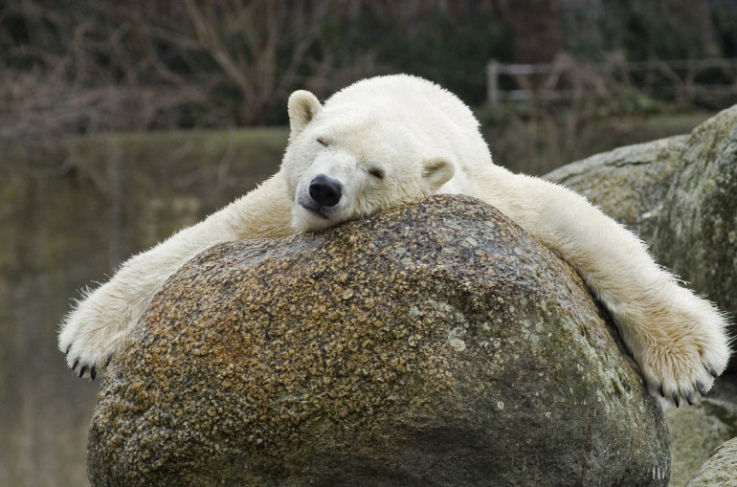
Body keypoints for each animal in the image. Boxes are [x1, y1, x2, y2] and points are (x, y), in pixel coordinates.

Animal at [59, 74, 732, 406]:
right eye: (323, 141)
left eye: (376, 171)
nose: (324, 189)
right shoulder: (280, 196)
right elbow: (205, 236)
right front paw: (86, 338)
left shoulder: (470, 186)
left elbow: (573, 219)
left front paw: (689, 362)